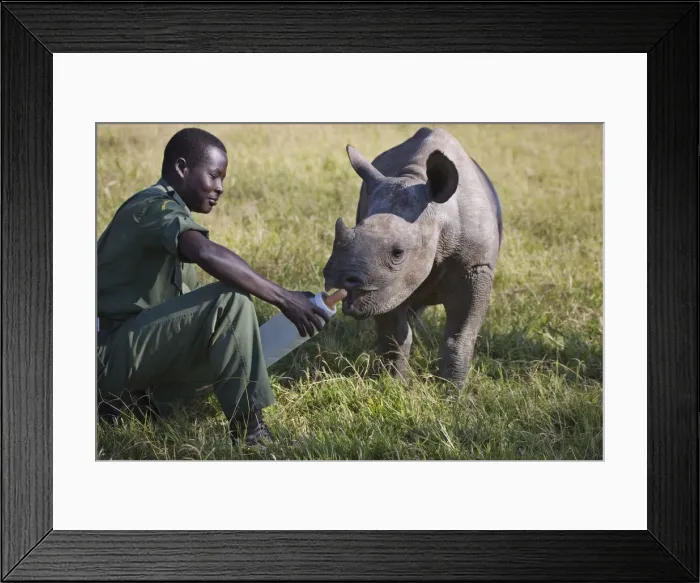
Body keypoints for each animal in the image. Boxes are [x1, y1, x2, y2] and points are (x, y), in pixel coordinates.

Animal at [322, 127, 502, 390]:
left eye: (398, 252)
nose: (339, 277)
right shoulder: (385, 285)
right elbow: (395, 335)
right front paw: (395, 384)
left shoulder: (475, 267)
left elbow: (460, 337)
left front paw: (452, 393)